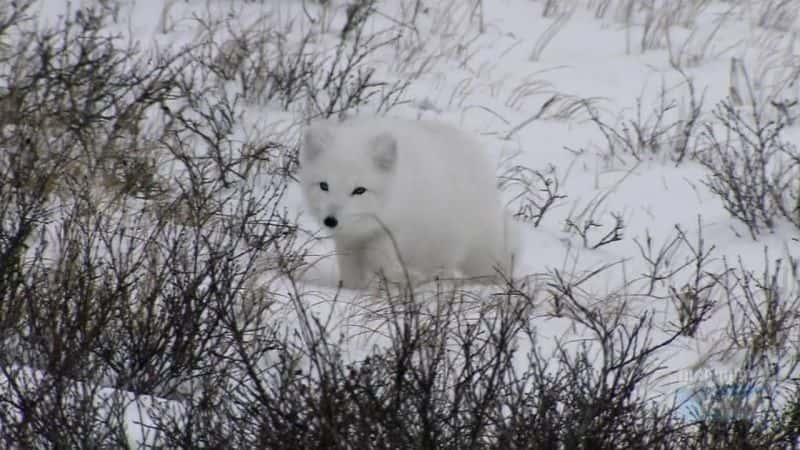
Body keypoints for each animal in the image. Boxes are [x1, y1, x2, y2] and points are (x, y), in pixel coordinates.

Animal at [296, 116, 516, 290]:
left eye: (359, 190)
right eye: (324, 186)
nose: (330, 220)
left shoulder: (398, 231)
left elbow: (378, 256)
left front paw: (399, 276)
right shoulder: (347, 240)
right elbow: (350, 267)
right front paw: (353, 290)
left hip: (476, 248)